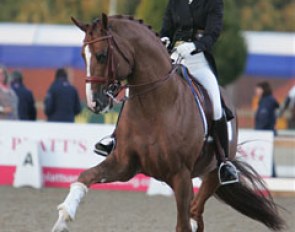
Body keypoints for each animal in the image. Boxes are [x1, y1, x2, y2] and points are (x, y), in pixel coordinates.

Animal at [52, 14, 286, 232]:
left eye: (102, 55)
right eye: (83, 56)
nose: (94, 102)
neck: (153, 107)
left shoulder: (180, 176)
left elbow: (182, 225)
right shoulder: (123, 165)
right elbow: (85, 177)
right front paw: (62, 219)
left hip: (212, 174)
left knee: (196, 211)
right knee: (195, 216)